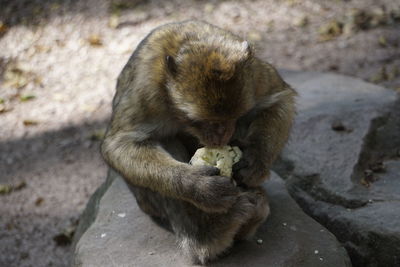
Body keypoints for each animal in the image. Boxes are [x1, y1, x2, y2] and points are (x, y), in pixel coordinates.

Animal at [102, 19, 296, 264]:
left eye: (233, 116)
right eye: (200, 121)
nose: (221, 136)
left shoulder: (255, 74)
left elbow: (279, 98)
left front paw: (256, 161)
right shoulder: (145, 89)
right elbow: (120, 144)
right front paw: (198, 185)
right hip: (146, 203)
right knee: (165, 141)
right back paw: (211, 235)